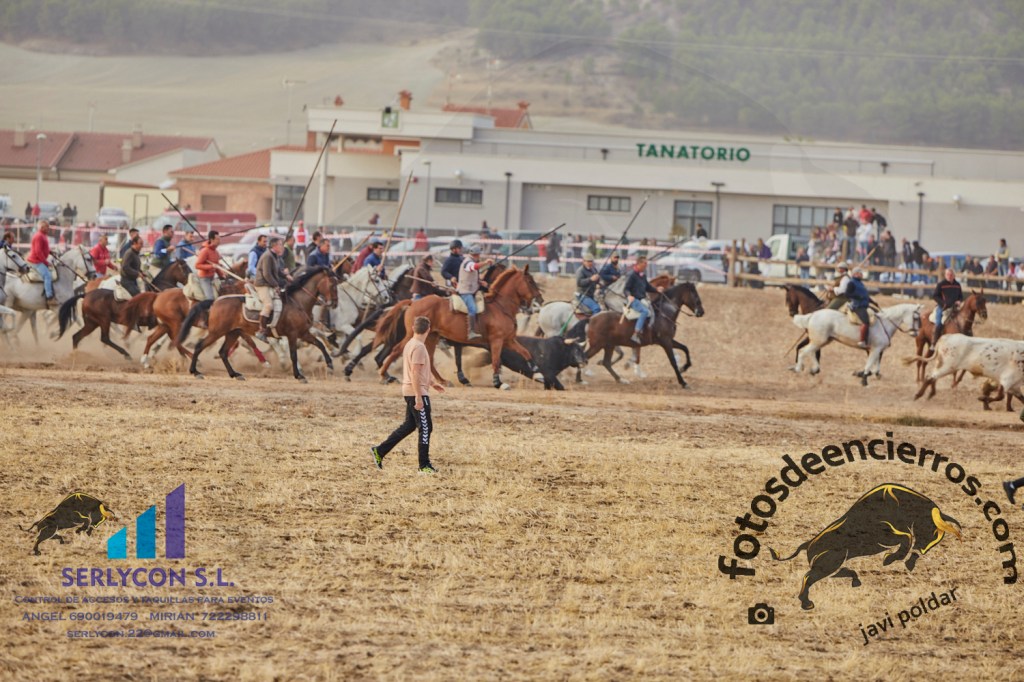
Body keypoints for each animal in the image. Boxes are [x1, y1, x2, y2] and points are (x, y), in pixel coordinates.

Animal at [57, 260, 192, 358]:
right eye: (186, 269)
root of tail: (86, 295)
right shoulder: (166, 324)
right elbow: (174, 340)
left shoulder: (166, 325)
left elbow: (174, 340)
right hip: (103, 320)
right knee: (105, 338)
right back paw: (126, 354)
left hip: (92, 323)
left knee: (76, 337)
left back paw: (76, 356)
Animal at [179, 266, 338, 382]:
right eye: (332, 284)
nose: (335, 304)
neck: (298, 302)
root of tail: (216, 301)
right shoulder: (292, 334)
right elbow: (294, 355)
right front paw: (299, 375)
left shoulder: (303, 333)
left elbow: (319, 344)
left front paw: (330, 364)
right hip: (217, 332)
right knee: (200, 346)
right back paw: (195, 372)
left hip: (233, 333)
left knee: (223, 352)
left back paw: (235, 374)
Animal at [379, 266, 544, 389]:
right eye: (530, 281)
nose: (540, 300)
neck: (500, 307)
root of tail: (413, 303)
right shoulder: (496, 340)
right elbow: (496, 360)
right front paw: (499, 383)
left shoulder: (508, 340)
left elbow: (526, 352)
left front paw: (538, 374)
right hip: (413, 335)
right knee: (396, 350)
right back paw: (384, 375)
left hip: (432, 336)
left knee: (429, 358)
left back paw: (443, 381)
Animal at [770, 483, 961, 610]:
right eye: (929, 526)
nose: (914, 560)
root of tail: (808, 544)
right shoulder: (885, 535)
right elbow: (906, 538)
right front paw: (889, 559)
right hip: (828, 564)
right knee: (808, 577)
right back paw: (807, 603)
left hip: (833, 565)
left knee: (836, 573)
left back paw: (855, 581)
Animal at [791, 303, 922, 386]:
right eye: (916, 318)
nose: (916, 334)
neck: (885, 323)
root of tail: (812, 315)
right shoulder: (876, 349)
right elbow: (869, 366)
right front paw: (863, 380)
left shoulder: (876, 350)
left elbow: (874, 367)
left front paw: (860, 374)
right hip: (819, 341)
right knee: (803, 352)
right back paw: (798, 368)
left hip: (822, 341)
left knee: (811, 352)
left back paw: (813, 370)